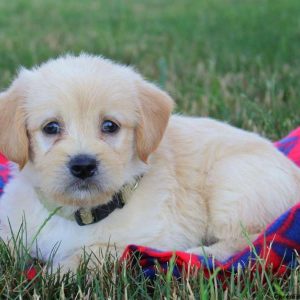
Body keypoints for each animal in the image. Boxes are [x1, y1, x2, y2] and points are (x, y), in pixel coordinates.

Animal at [0, 54, 300, 272]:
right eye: (51, 127)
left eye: (110, 126)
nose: (83, 166)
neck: (79, 213)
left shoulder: (150, 239)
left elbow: (96, 252)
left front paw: (57, 272)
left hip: (231, 182)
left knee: (254, 240)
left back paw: (198, 255)